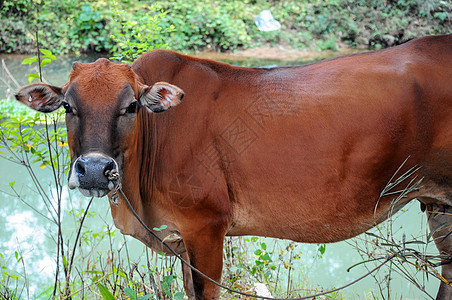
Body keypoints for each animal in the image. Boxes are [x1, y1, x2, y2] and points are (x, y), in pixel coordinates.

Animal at [15, 34, 450, 298]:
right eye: (67, 106)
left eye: (132, 106)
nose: (92, 169)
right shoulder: (182, 238)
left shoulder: (207, 226)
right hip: (437, 202)